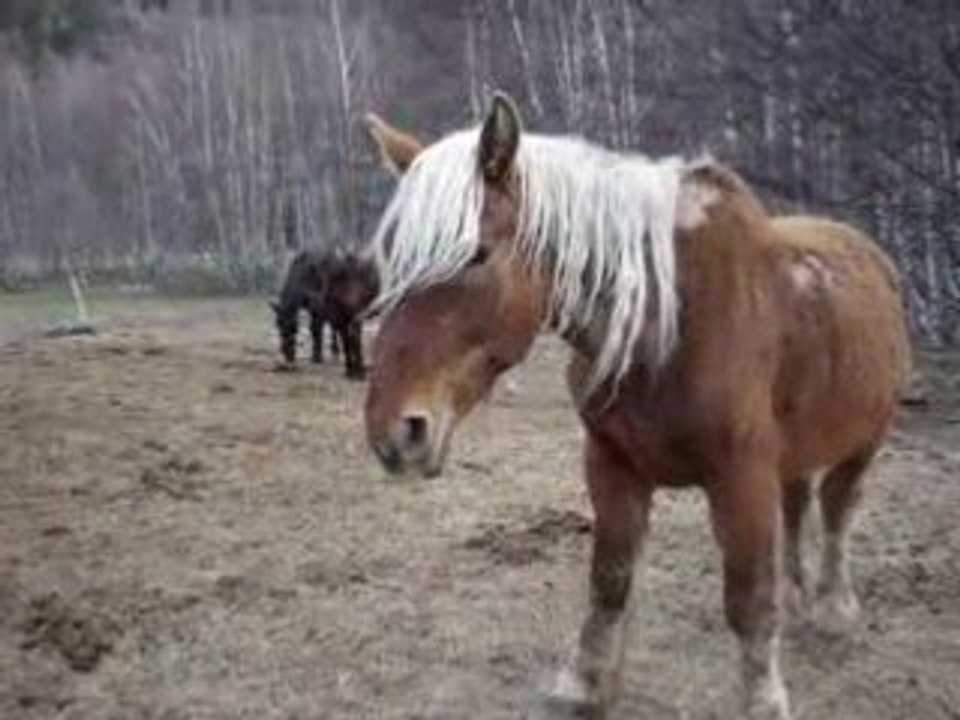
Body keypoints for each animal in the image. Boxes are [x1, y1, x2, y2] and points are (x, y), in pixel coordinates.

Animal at [271, 247, 378, 379]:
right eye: (278, 325)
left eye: (292, 327)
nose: (287, 354)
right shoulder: (313, 307)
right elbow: (315, 329)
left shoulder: (319, 307)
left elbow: (316, 328)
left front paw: (317, 356)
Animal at [360, 93, 910, 719]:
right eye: (392, 261)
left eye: (476, 254)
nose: (396, 431)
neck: (666, 324)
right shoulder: (612, 464)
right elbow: (610, 579)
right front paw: (585, 683)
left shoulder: (741, 477)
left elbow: (748, 599)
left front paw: (763, 701)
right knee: (797, 508)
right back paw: (798, 601)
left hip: (865, 441)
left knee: (838, 511)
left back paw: (834, 608)